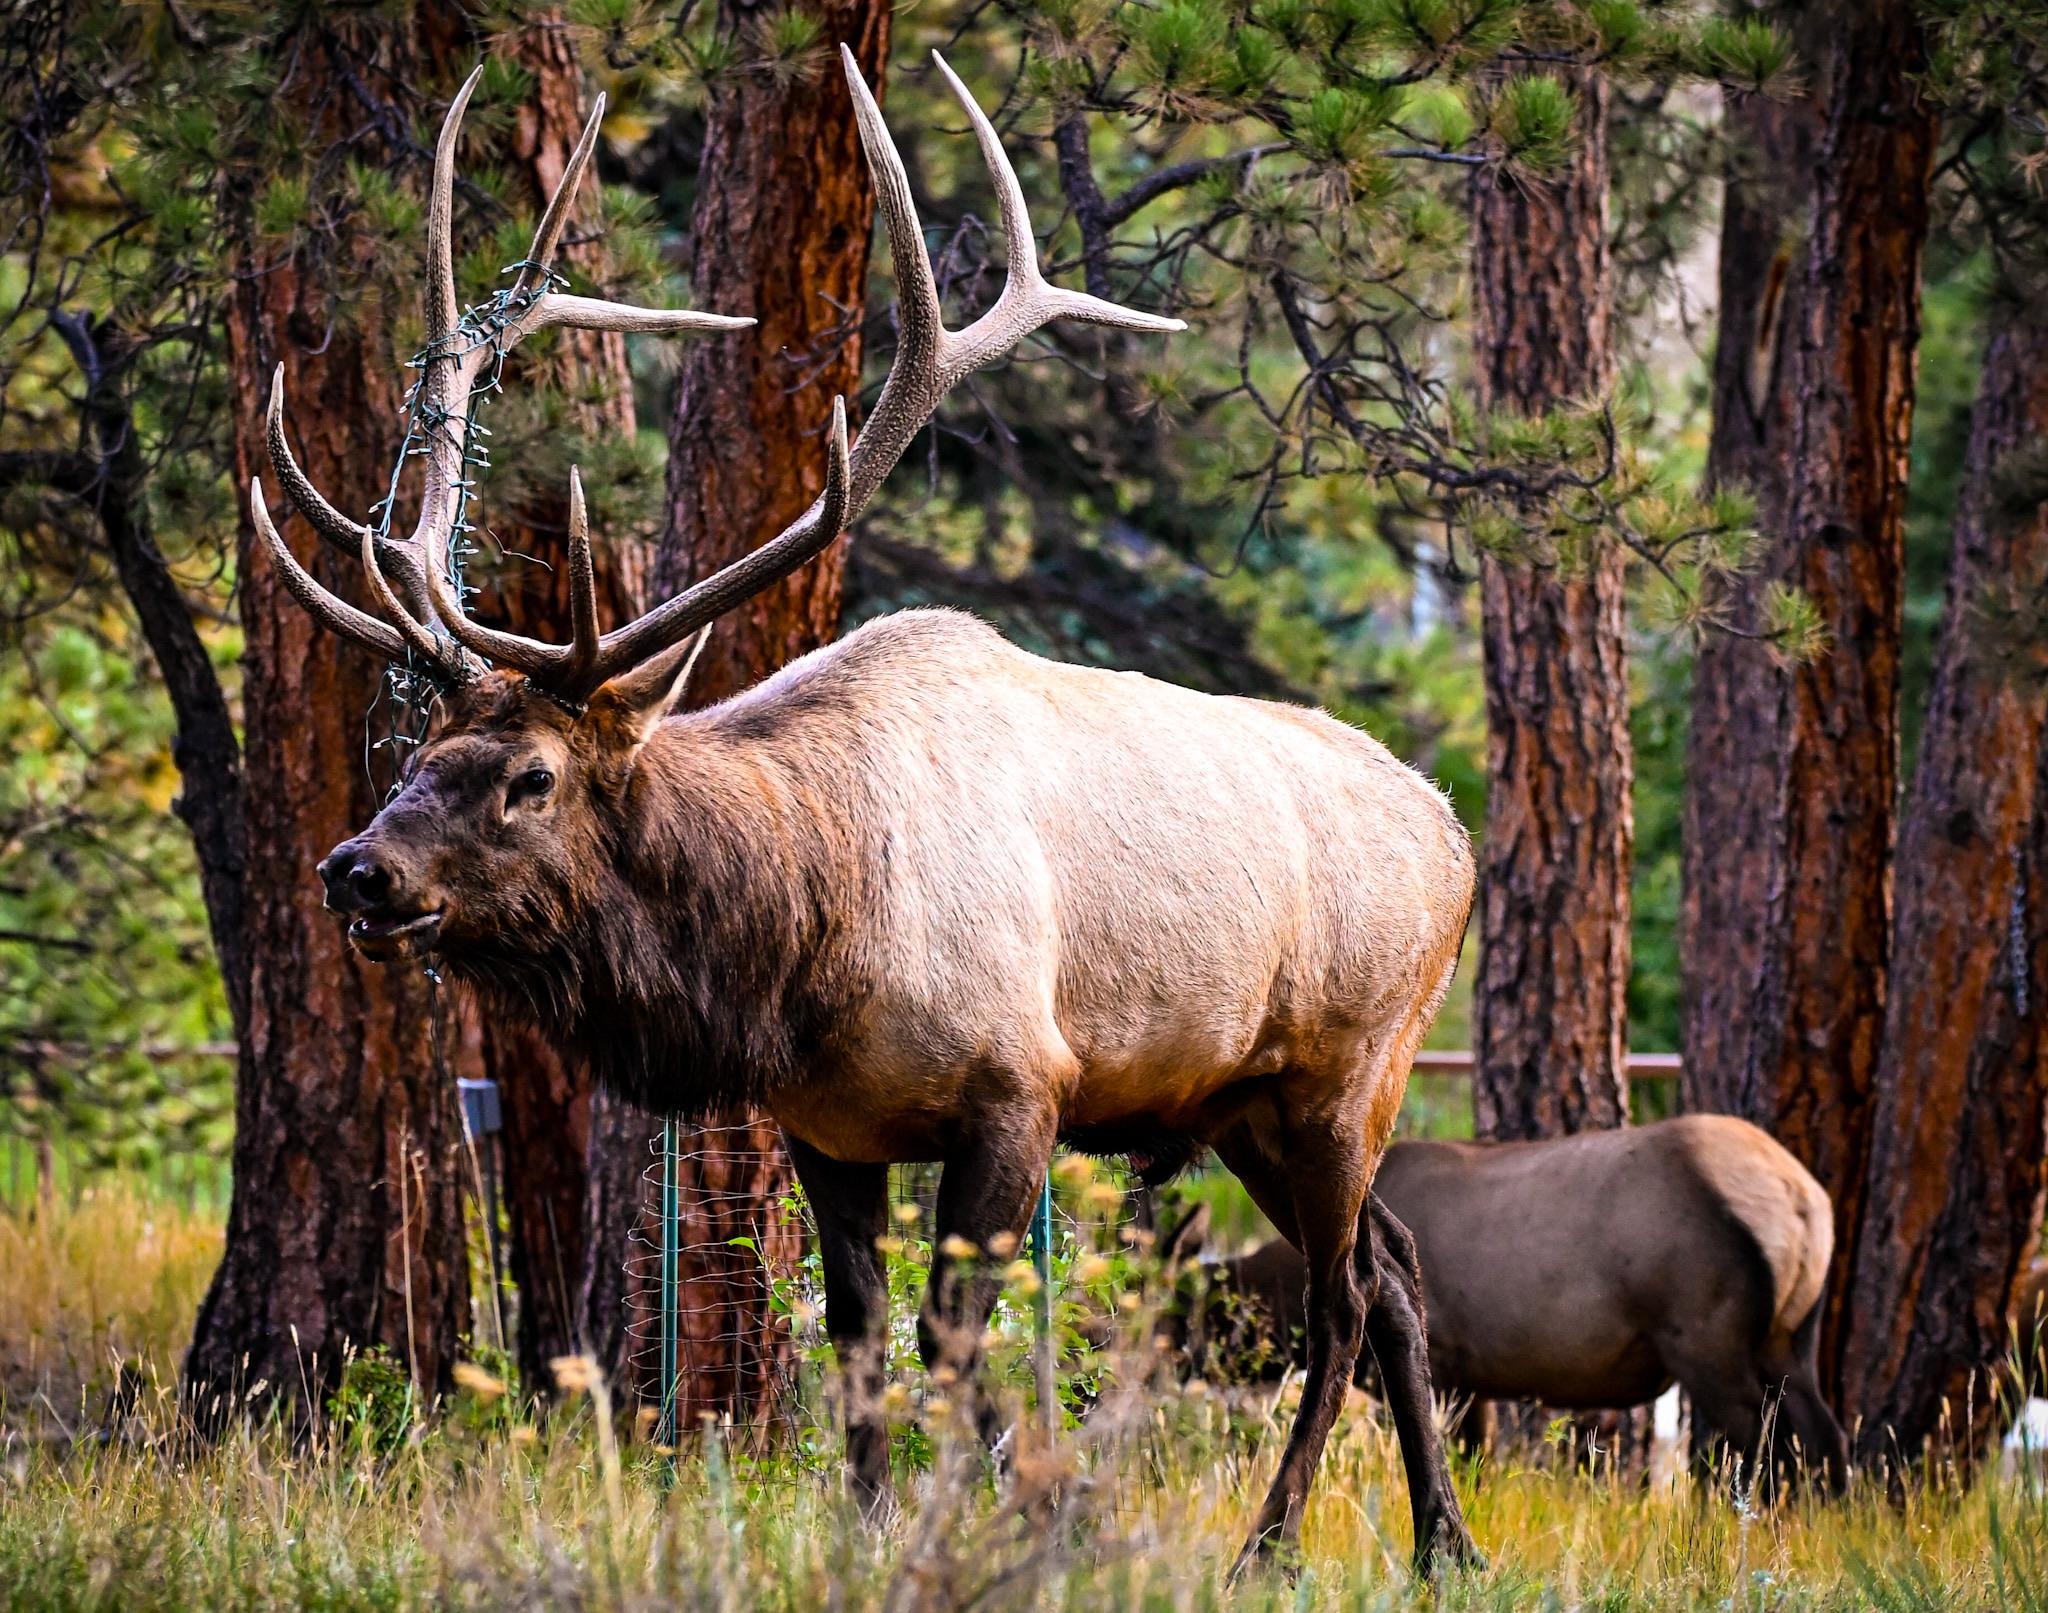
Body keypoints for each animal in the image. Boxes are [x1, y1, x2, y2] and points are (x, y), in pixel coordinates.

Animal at [253, 49, 1480, 1578]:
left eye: (531, 777)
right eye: (420, 747)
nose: (357, 867)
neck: (798, 949)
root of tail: (1458, 836)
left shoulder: (1021, 1087)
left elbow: (958, 1349)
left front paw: (1017, 1523)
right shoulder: (824, 1129)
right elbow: (853, 1345)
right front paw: (874, 1529)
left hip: (1351, 1067)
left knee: (1339, 1298)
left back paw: (1274, 1540)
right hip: (1246, 1100)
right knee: (1397, 1269)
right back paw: (1445, 1543)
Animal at [1158, 1116, 1849, 1494]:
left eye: (1167, 1318)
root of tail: (1803, 1203)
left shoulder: (1450, 1361)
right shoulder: (1476, 1375)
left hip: (1707, 1337)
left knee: (1766, 1440)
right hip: (1794, 1339)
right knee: (1824, 1436)